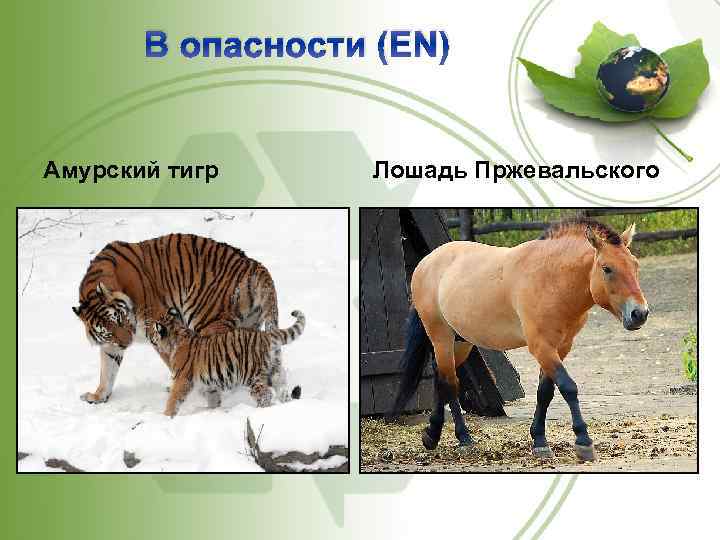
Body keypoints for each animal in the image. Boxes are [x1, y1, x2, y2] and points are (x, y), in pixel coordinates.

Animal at [73, 233, 279, 405]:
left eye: (119, 319)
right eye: (107, 332)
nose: (127, 343)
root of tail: (254, 264)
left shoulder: (159, 327)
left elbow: (173, 361)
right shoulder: (111, 345)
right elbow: (107, 370)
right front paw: (98, 396)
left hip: (208, 321)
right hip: (248, 325)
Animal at [148, 309, 306, 416]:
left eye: (153, 330)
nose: (149, 337)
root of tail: (265, 335)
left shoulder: (182, 379)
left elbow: (173, 399)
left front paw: (166, 416)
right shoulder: (209, 384)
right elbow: (213, 398)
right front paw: (212, 411)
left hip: (252, 376)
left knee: (265, 395)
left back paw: (259, 411)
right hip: (275, 371)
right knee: (283, 390)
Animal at [388, 218, 649, 462]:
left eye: (635, 265)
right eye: (607, 268)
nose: (640, 313)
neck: (550, 279)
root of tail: (426, 262)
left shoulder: (561, 347)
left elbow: (545, 392)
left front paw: (540, 440)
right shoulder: (541, 347)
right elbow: (568, 387)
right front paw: (583, 441)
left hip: (461, 342)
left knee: (441, 378)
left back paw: (433, 435)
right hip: (440, 336)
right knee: (449, 382)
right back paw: (462, 438)